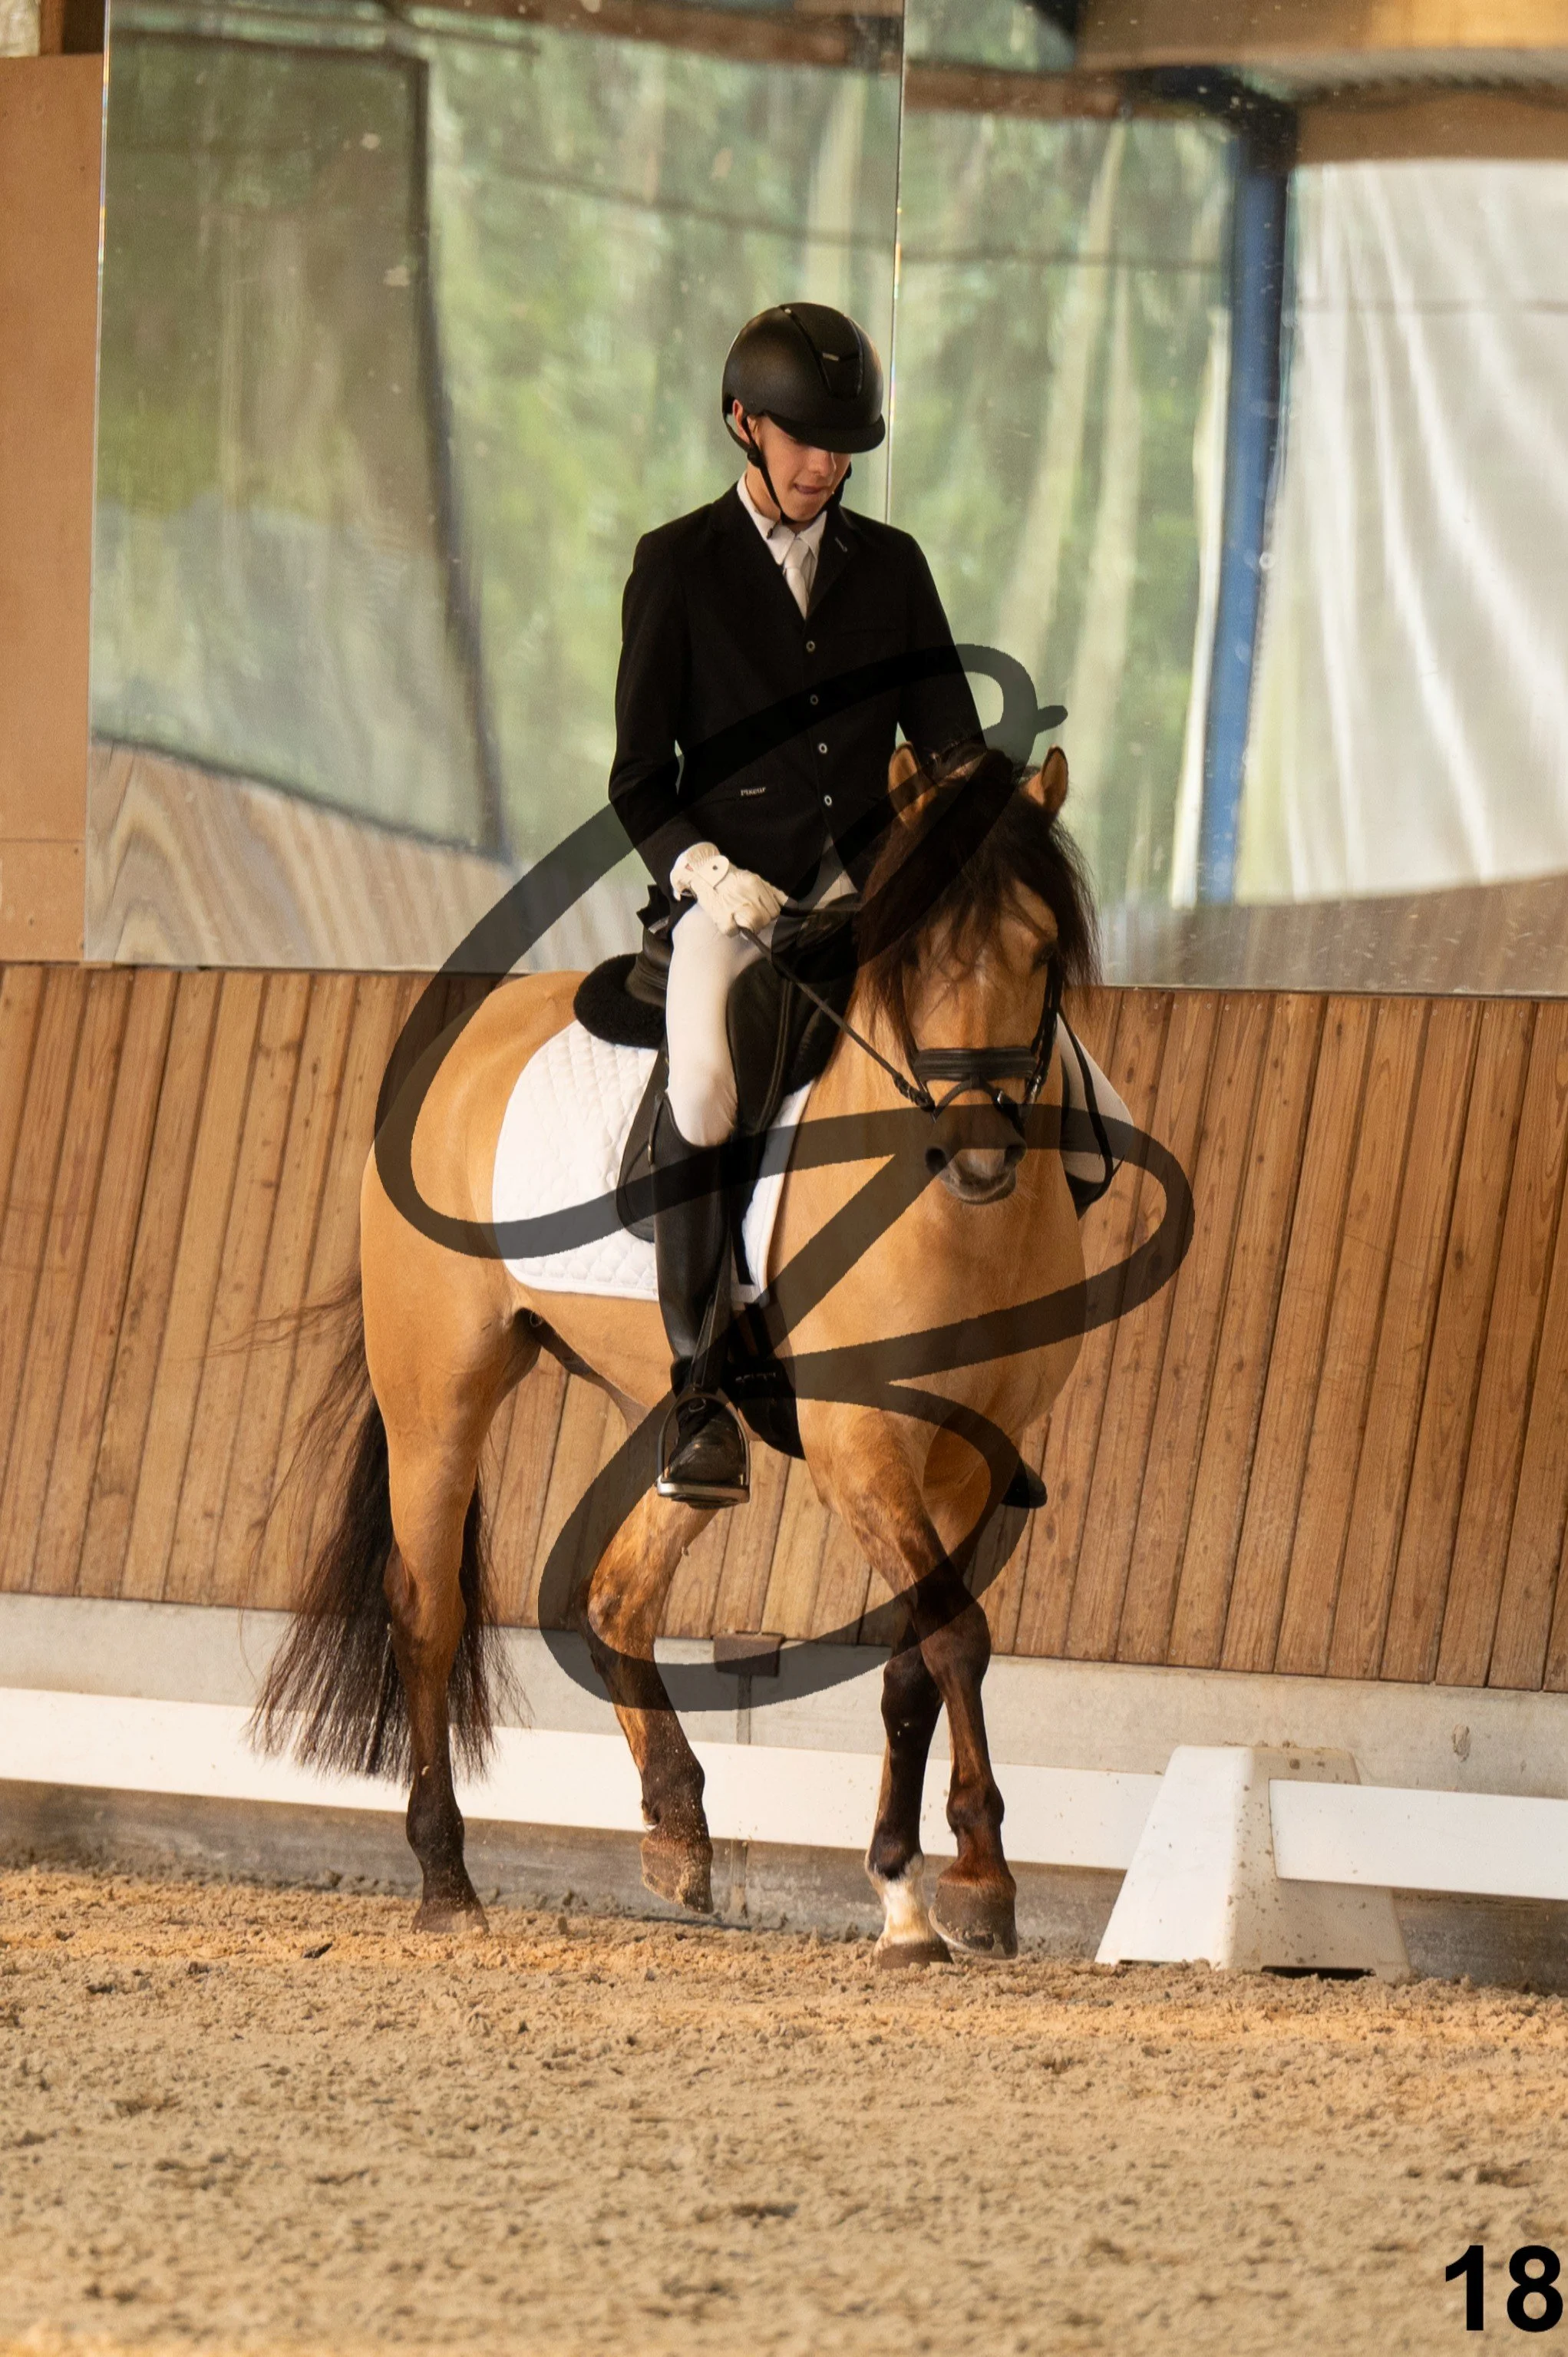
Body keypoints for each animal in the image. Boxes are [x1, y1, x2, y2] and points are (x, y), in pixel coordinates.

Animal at [254, 741, 1098, 1967]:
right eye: (911, 951)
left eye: (1041, 950)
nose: (980, 1155)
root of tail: (460, 1038)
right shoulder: (861, 1446)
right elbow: (954, 1635)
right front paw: (977, 1880)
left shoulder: (969, 1455)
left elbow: (914, 1662)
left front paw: (904, 1893)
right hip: (437, 1395)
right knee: (427, 1611)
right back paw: (447, 1878)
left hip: (675, 1416)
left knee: (615, 1593)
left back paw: (675, 1823)